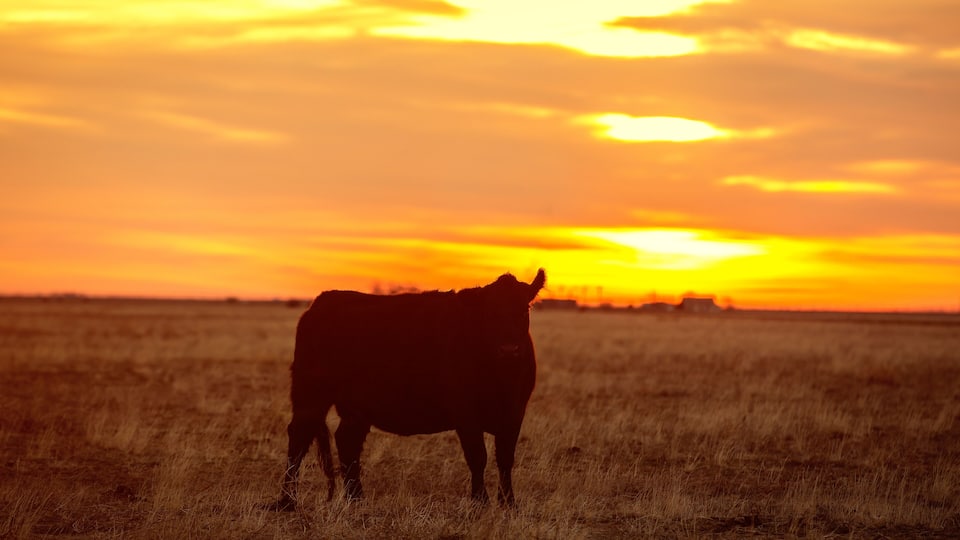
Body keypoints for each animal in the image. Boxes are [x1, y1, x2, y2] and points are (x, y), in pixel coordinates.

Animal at [270, 269, 546, 511]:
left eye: (525, 309)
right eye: (489, 313)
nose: (509, 349)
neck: (501, 379)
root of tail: (323, 301)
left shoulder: (514, 414)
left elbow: (505, 459)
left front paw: (509, 503)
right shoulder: (466, 415)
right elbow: (478, 457)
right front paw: (480, 502)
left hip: (357, 406)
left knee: (347, 442)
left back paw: (356, 498)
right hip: (310, 394)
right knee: (299, 437)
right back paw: (287, 501)